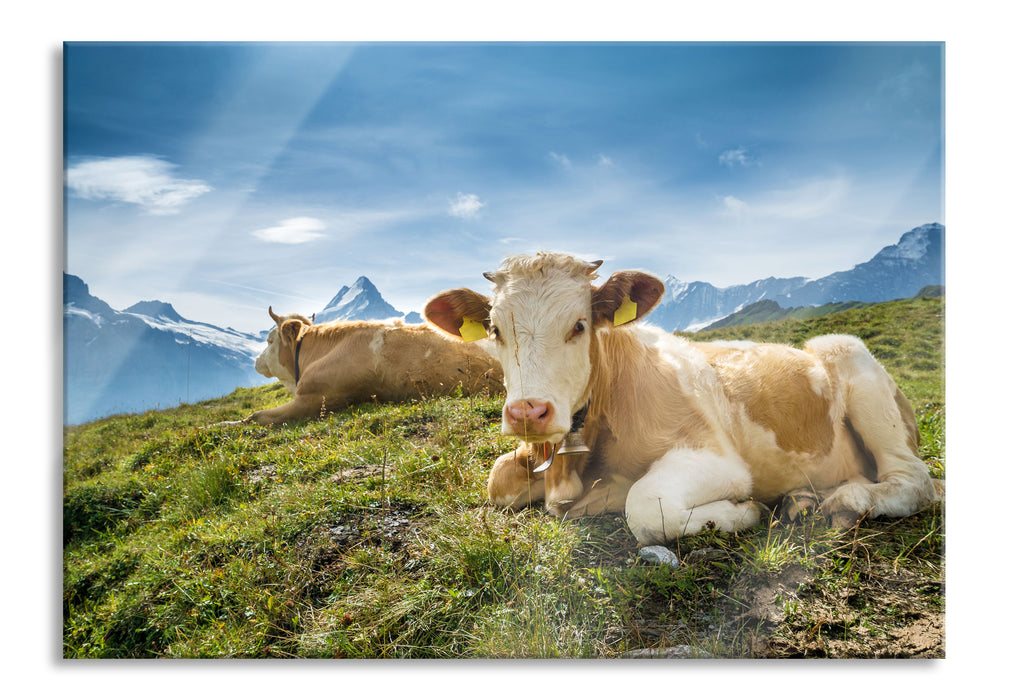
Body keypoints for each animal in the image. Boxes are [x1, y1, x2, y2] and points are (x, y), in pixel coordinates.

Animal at [421, 253, 940, 548]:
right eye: (494, 329)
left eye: (579, 325)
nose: (528, 411)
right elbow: (498, 479)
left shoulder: (716, 456)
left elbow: (645, 507)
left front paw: (741, 513)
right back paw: (802, 501)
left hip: (848, 355)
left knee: (914, 481)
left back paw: (845, 498)